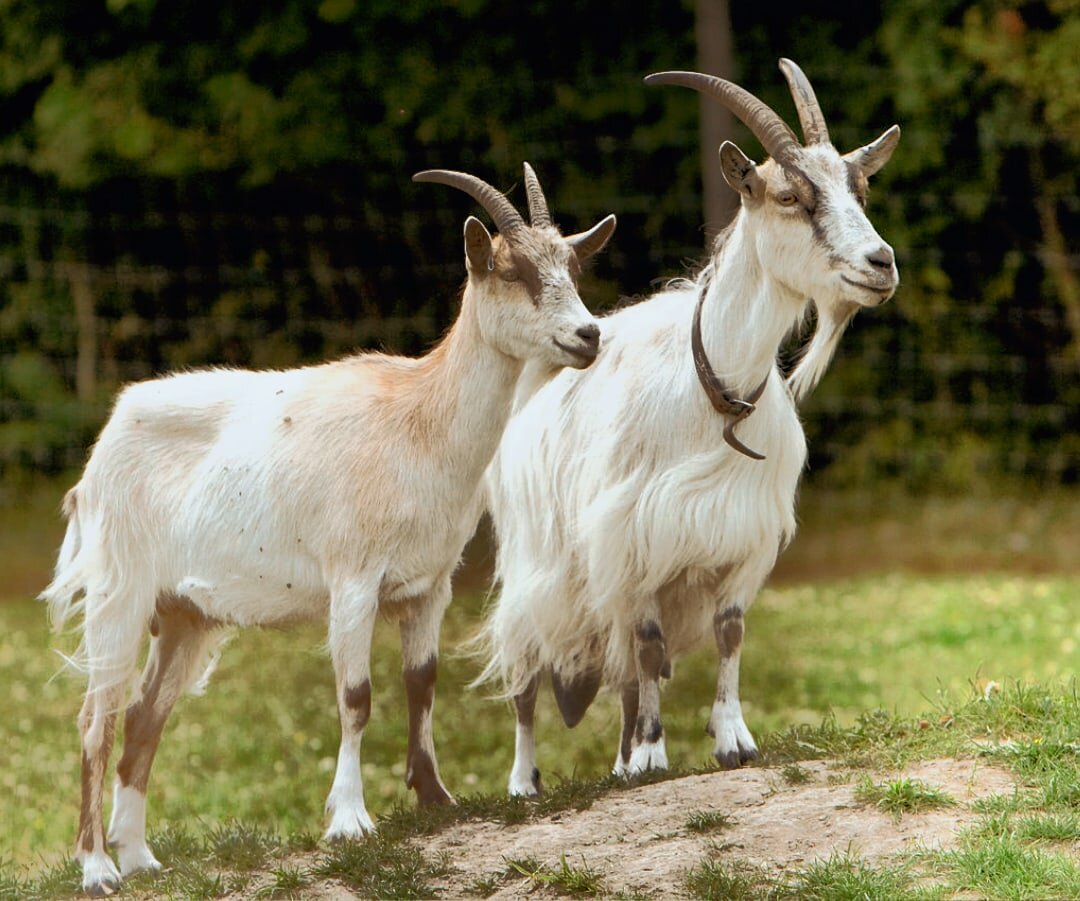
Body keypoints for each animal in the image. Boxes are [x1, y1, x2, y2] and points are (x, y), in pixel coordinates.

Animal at [41, 164, 616, 896]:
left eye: (573, 264)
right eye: (513, 271)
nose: (588, 336)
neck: (419, 423)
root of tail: (106, 441)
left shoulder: (429, 586)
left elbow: (421, 682)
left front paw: (435, 797)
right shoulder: (353, 581)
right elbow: (356, 695)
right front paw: (349, 819)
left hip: (184, 616)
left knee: (144, 717)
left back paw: (141, 857)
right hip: (120, 595)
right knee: (97, 721)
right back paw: (97, 867)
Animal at [478, 60, 899, 795]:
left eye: (862, 187)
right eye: (788, 195)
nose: (881, 264)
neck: (714, 390)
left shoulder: (740, 532)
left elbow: (728, 634)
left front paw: (731, 739)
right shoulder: (631, 537)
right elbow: (649, 645)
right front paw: (653, 753)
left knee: (619, 668)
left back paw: (618, 761)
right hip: (535, 564)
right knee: (528, 672)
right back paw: (527, 781)